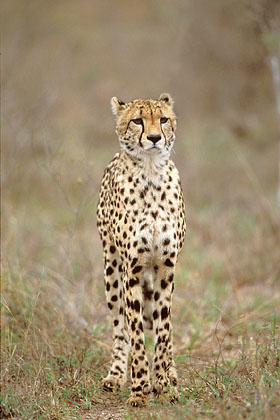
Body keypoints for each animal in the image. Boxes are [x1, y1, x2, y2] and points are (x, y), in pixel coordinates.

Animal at [96, 92, 186, 406]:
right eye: (137, 120)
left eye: (163, 119)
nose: (155, 137)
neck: (150, 173)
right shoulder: (132, 273)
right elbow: (135, 333)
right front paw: (139, 389)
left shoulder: (166, 272)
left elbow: (163, 331)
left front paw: (164, 385)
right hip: (111, 272)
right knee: (119, 327)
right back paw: (115, 375)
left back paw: (170, 373)